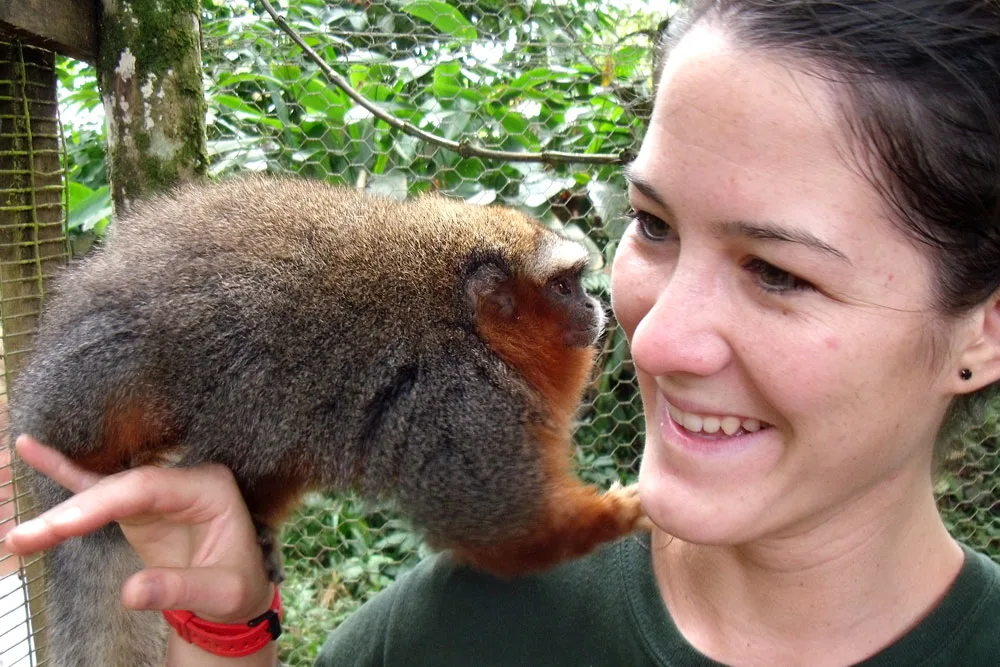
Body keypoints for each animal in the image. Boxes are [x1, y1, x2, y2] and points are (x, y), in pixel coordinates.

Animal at [9, 175, 648, 667]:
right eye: (563, 286)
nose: (594, 304)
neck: (470, 327)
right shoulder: (460, 405)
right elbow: (501, 527)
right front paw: (620, 514)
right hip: (80, 393)